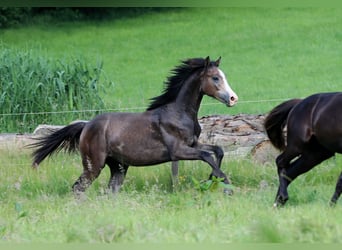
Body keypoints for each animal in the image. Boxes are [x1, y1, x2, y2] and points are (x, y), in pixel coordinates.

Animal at [30, 56, 238, 193]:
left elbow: (218, 150)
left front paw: (213, 178)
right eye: (215, 78)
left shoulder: (193, 144)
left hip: (118, 167)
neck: (178, 113)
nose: (233, 98)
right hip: (93, 166)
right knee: (78, 188)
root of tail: (86, 125)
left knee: (110, 190)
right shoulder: (178, 151)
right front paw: (223, 182)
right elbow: (207, 155)